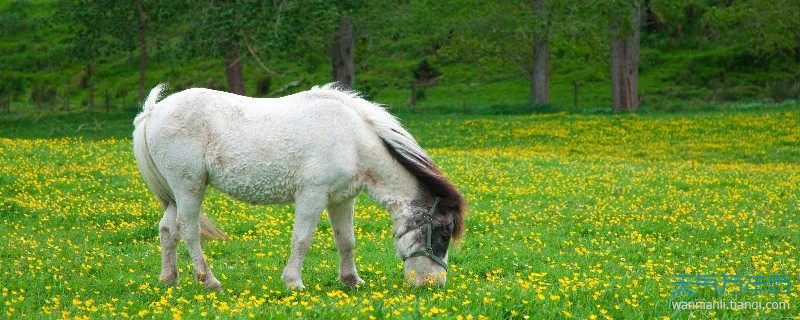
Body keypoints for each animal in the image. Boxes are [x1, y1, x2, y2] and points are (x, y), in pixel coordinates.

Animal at [134, 83, 466, 290]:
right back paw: (208, 281)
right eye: (443, 235)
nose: (434, 284)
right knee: (189, 231)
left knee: (167, 230)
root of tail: (153, 111)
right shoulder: (312, 196)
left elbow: (346, 241)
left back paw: (169, 278)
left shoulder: (342, 200)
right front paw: (293, 281)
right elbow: (302, 240)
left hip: (175, 194)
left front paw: (351, 280)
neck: (352, 140)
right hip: (189, 187)